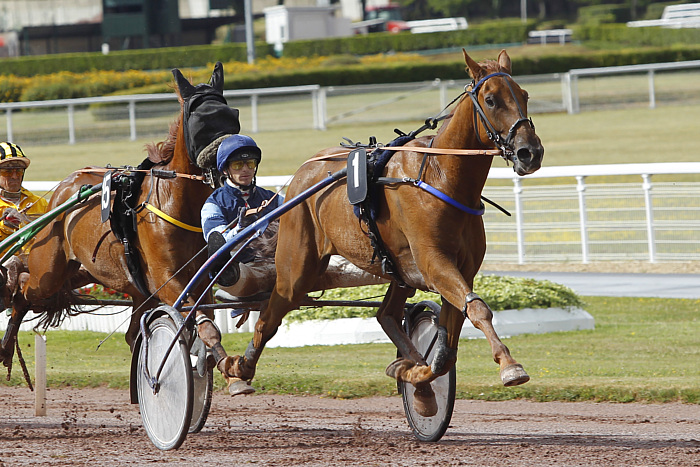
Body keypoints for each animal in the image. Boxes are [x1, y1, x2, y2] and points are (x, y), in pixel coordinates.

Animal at [0, 63, 232, 370]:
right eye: (201, 121)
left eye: (232, 116)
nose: (234, 159)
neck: (176, 203)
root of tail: (62, 189)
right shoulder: (167, 279)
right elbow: (204, 325)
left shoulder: (199, 277)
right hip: (48, 270)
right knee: (24, 291)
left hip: (111, 278)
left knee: (131, 332)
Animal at [217, 49, 540, 414]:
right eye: (491, 99)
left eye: (524, 95)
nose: (531, 152)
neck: (442, 177)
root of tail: (303, 172)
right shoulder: (435, 263)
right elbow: (477, 309)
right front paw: (510, 366)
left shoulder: (461, 269)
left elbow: (448, 344)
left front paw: (416, 375)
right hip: (296, 266)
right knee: (270, 314)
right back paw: (239, 369)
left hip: (397, 271)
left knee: (385, 315)